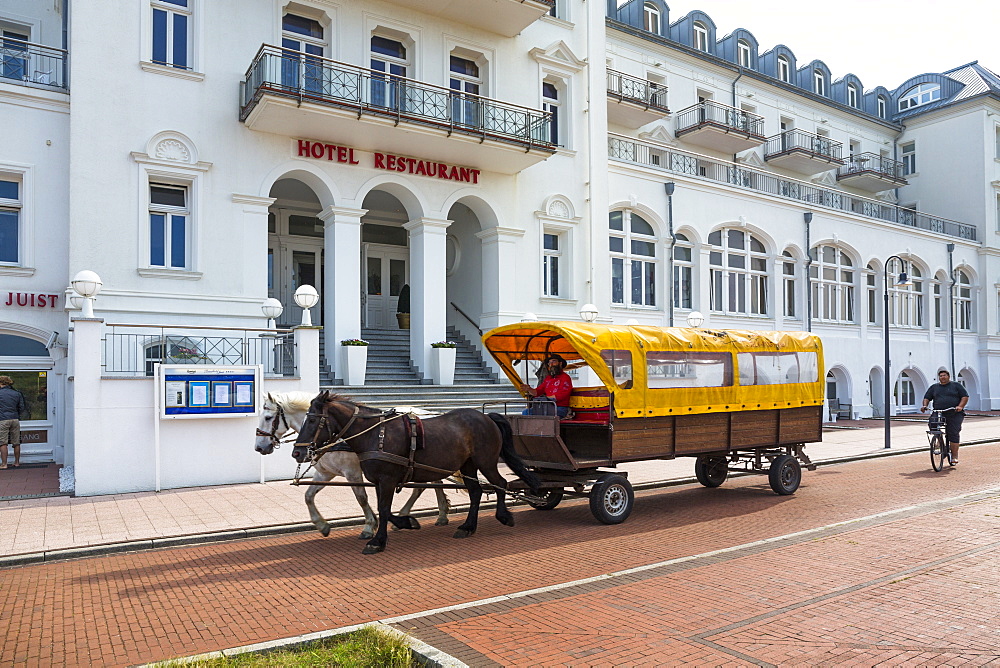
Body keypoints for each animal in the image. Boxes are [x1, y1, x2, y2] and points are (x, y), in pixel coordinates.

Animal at [292, 394, 544, 556]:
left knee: (501, 483)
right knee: (476, 491)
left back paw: (504, 516)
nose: (297, 452)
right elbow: (383, 510)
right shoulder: (378, 481)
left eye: (312, 419)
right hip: (468, 465)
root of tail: (487, 417)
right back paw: (467, 527)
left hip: (487, 462)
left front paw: (379, 540)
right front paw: (405, 523)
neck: (375, 435)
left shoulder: (387, 480)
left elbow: (384, 509)